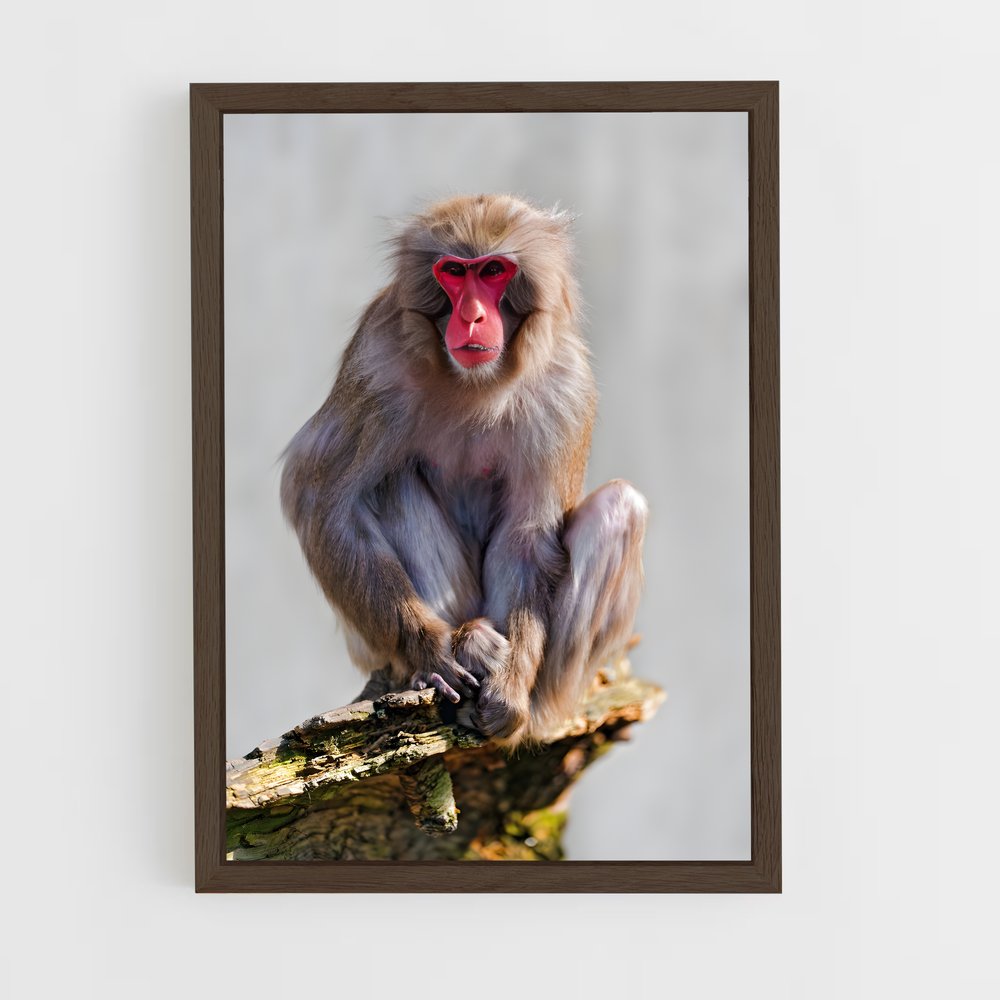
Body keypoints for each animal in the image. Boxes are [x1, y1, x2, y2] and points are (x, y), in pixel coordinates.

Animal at [281, 194, 647, 747]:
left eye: (493, 270)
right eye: (454, 271)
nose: (472, 316)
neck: (476, 383)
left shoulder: (566, 391)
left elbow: (526, 539)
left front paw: (509, 691)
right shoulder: (376, 364)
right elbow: (321, 500)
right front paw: (431, 649)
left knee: (620, 507)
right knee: (388, 482)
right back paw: (450, 651)